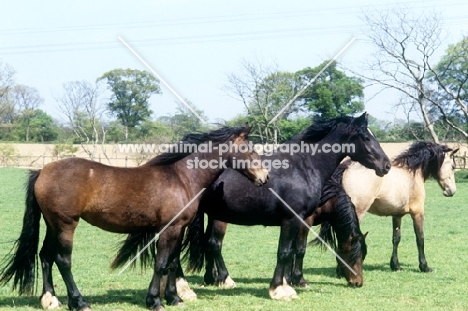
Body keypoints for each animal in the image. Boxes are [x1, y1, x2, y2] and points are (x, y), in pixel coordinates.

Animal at [0, 126, 268, 311]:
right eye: (249, 149)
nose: (264, 177)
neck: (182, 177)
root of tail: (42, 171)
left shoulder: (178, 229)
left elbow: (172, 263)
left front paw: (175, 298)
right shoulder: (169, 229)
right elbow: (161, 264)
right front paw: (155, 301)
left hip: (52, 224)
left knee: (45, 256)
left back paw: (50, 299)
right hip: (66, 225)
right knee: (62, 260)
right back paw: (79, 302)